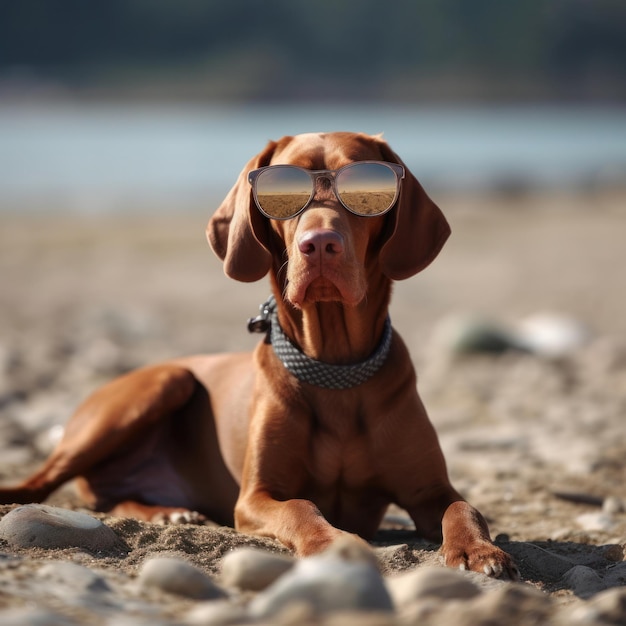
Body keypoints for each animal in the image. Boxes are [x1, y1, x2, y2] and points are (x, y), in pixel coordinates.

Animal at [0, 130, 516, 576]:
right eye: (283, 191)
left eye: (364, 187)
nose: (319, 244)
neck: (334, 368)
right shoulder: (255, 497)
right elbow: (302, 508)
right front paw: (334, 542)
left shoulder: (430, 490)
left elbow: (464, 507)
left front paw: (478, 550)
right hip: (161, 384)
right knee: (42, 483)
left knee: (106, 494)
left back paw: (168, 511)